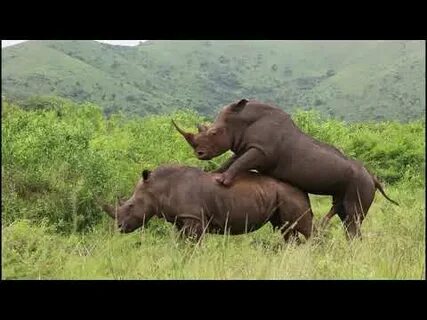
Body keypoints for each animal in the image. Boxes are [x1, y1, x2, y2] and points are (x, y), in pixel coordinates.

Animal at [100, 165, 314, 242]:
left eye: (130, 206)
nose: (119, 227)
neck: (160, 188)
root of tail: (303, 189)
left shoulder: (194, 219)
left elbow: (193, 244)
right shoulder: (182, 220)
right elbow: (182, 243)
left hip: (290, 194)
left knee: (301, 229)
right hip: (284, 195)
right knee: (287, 230)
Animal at [172, 99, 400, 239]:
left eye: (214, 133)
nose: (199, 154)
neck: (242, 121)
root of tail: (374, 177)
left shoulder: (262, 151)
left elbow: (239, 162)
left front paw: (222, 181)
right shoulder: (250, 147)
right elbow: (232, 160)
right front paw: (213, 174)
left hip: (361, 182)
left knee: (352, 217)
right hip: (353, 182)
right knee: (343, 212)